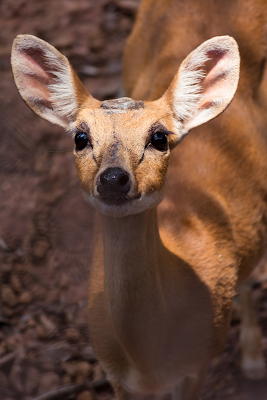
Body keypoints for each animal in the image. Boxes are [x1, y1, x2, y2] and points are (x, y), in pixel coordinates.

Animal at [9, 0, 267, 396]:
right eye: (80, 137)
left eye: (159, 138)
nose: (113, 179)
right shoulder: (113, 372)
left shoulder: (198, 364)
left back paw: (254, 360)